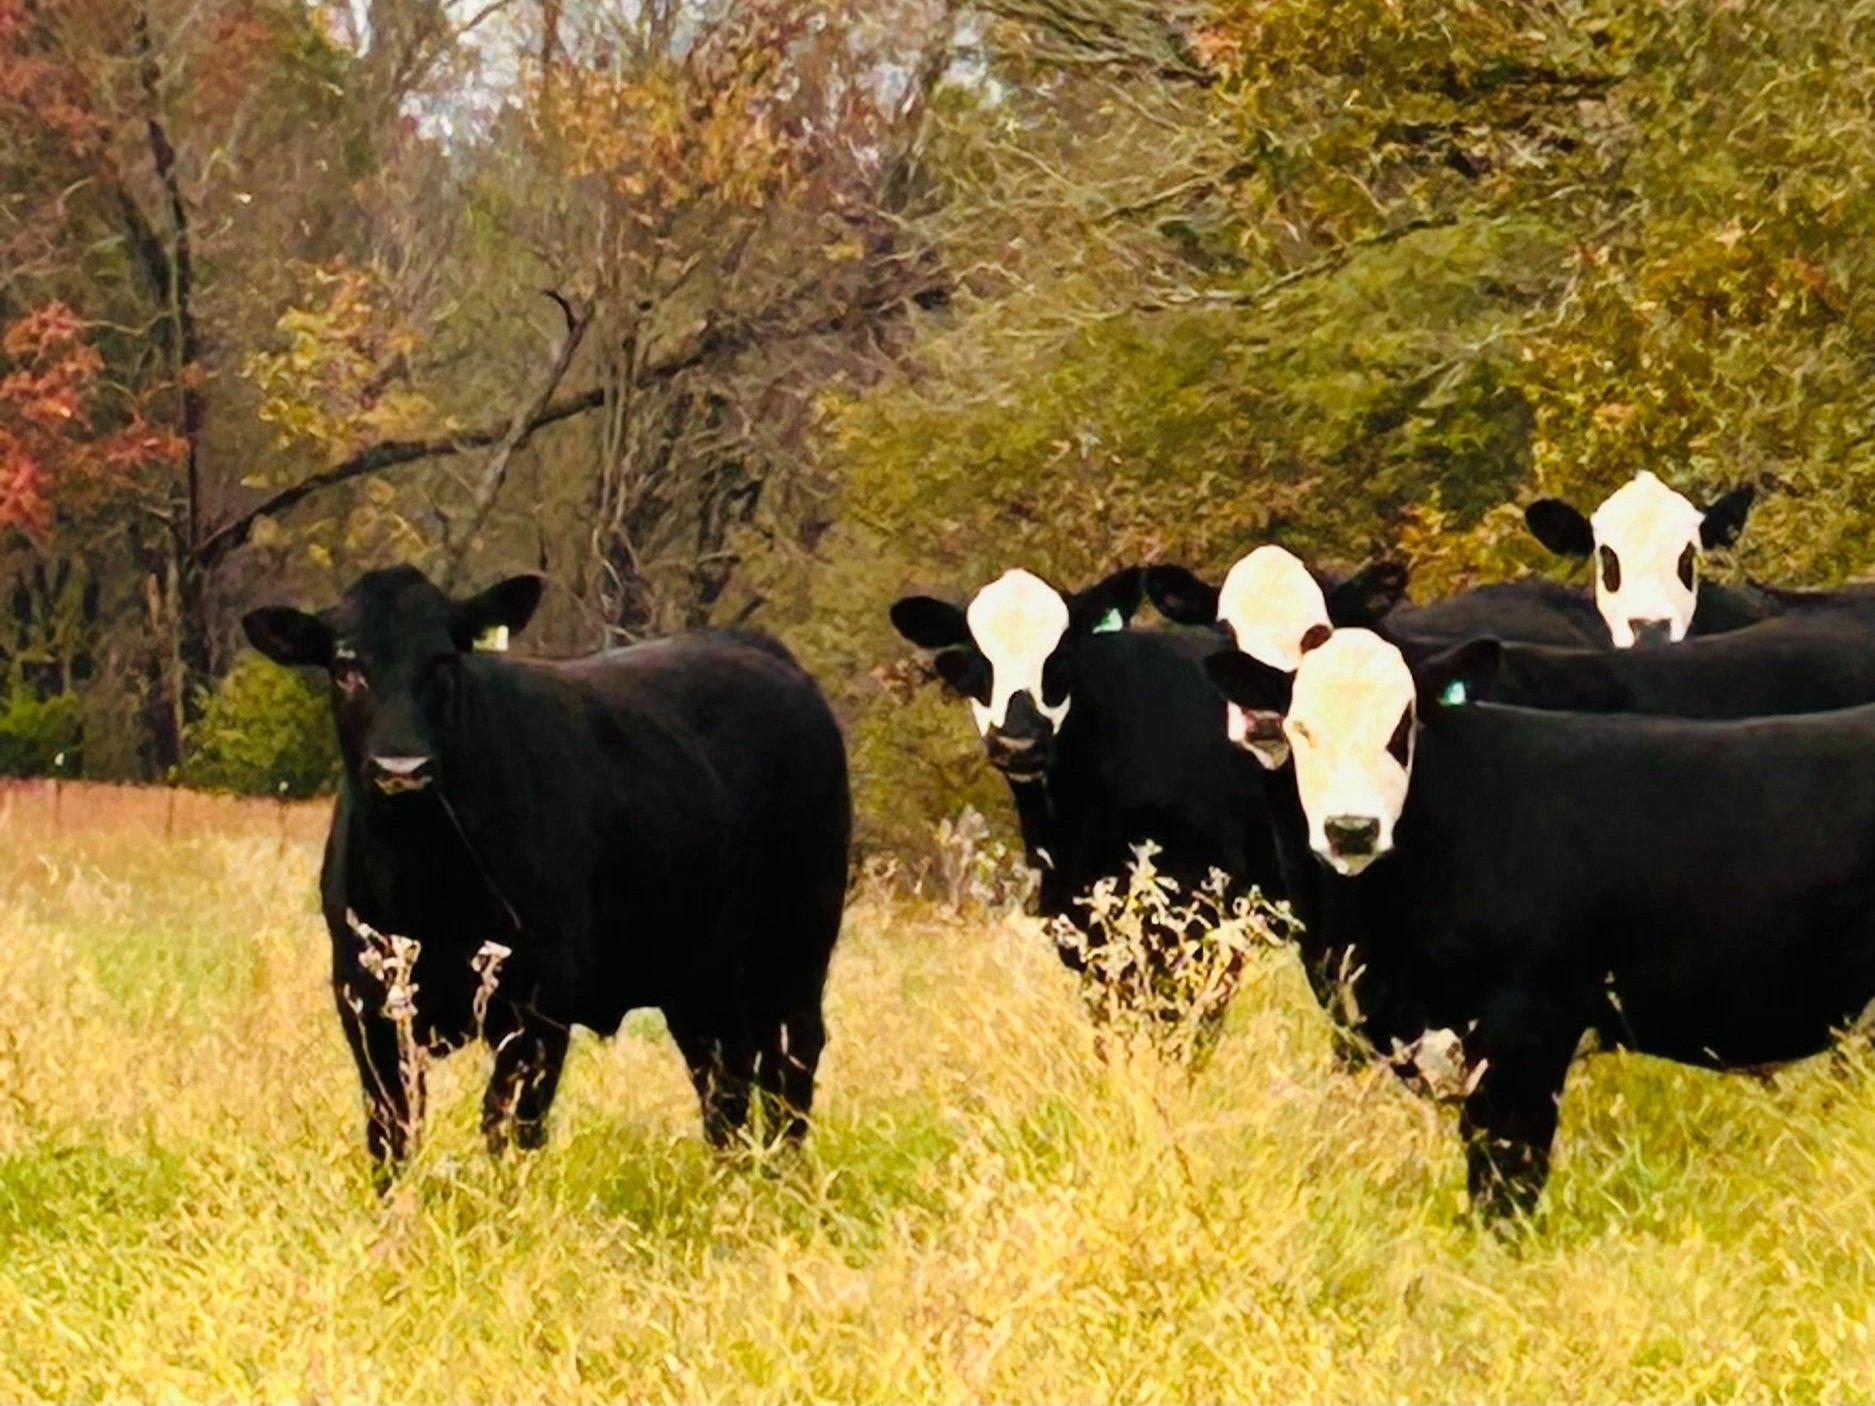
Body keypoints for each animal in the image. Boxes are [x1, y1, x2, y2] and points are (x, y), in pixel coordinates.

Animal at [242, 565, 851, 1180]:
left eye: (443, 660)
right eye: (346, 668)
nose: (402, 768)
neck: (422, 880)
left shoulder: (540, 1005)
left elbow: (509, 1130)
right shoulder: (367, 1006)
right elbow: (391, 1136)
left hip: (797, 949)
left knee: (790, 1068)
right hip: (701, 977)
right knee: (725, 1083)